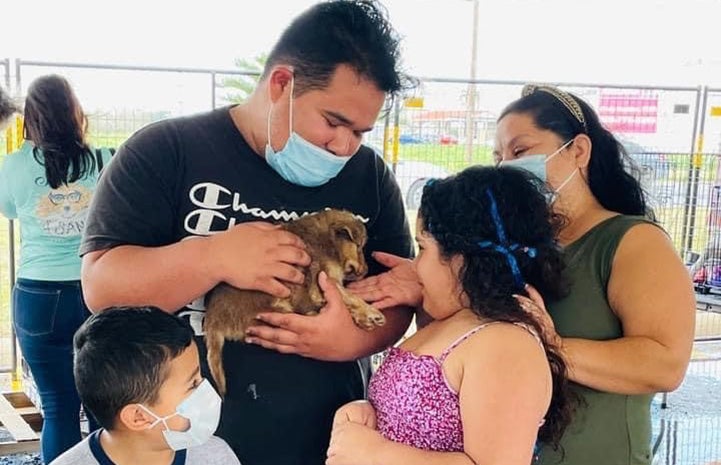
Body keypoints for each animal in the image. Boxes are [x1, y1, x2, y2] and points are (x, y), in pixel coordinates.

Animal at [202, 208, 388, 394]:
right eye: (359, 246)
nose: (366, 271)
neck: (328, 240)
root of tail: (212, 323)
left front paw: (364, 318)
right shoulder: (324, 280)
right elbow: (349, 295)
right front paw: (371, 313)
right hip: (269, 309)